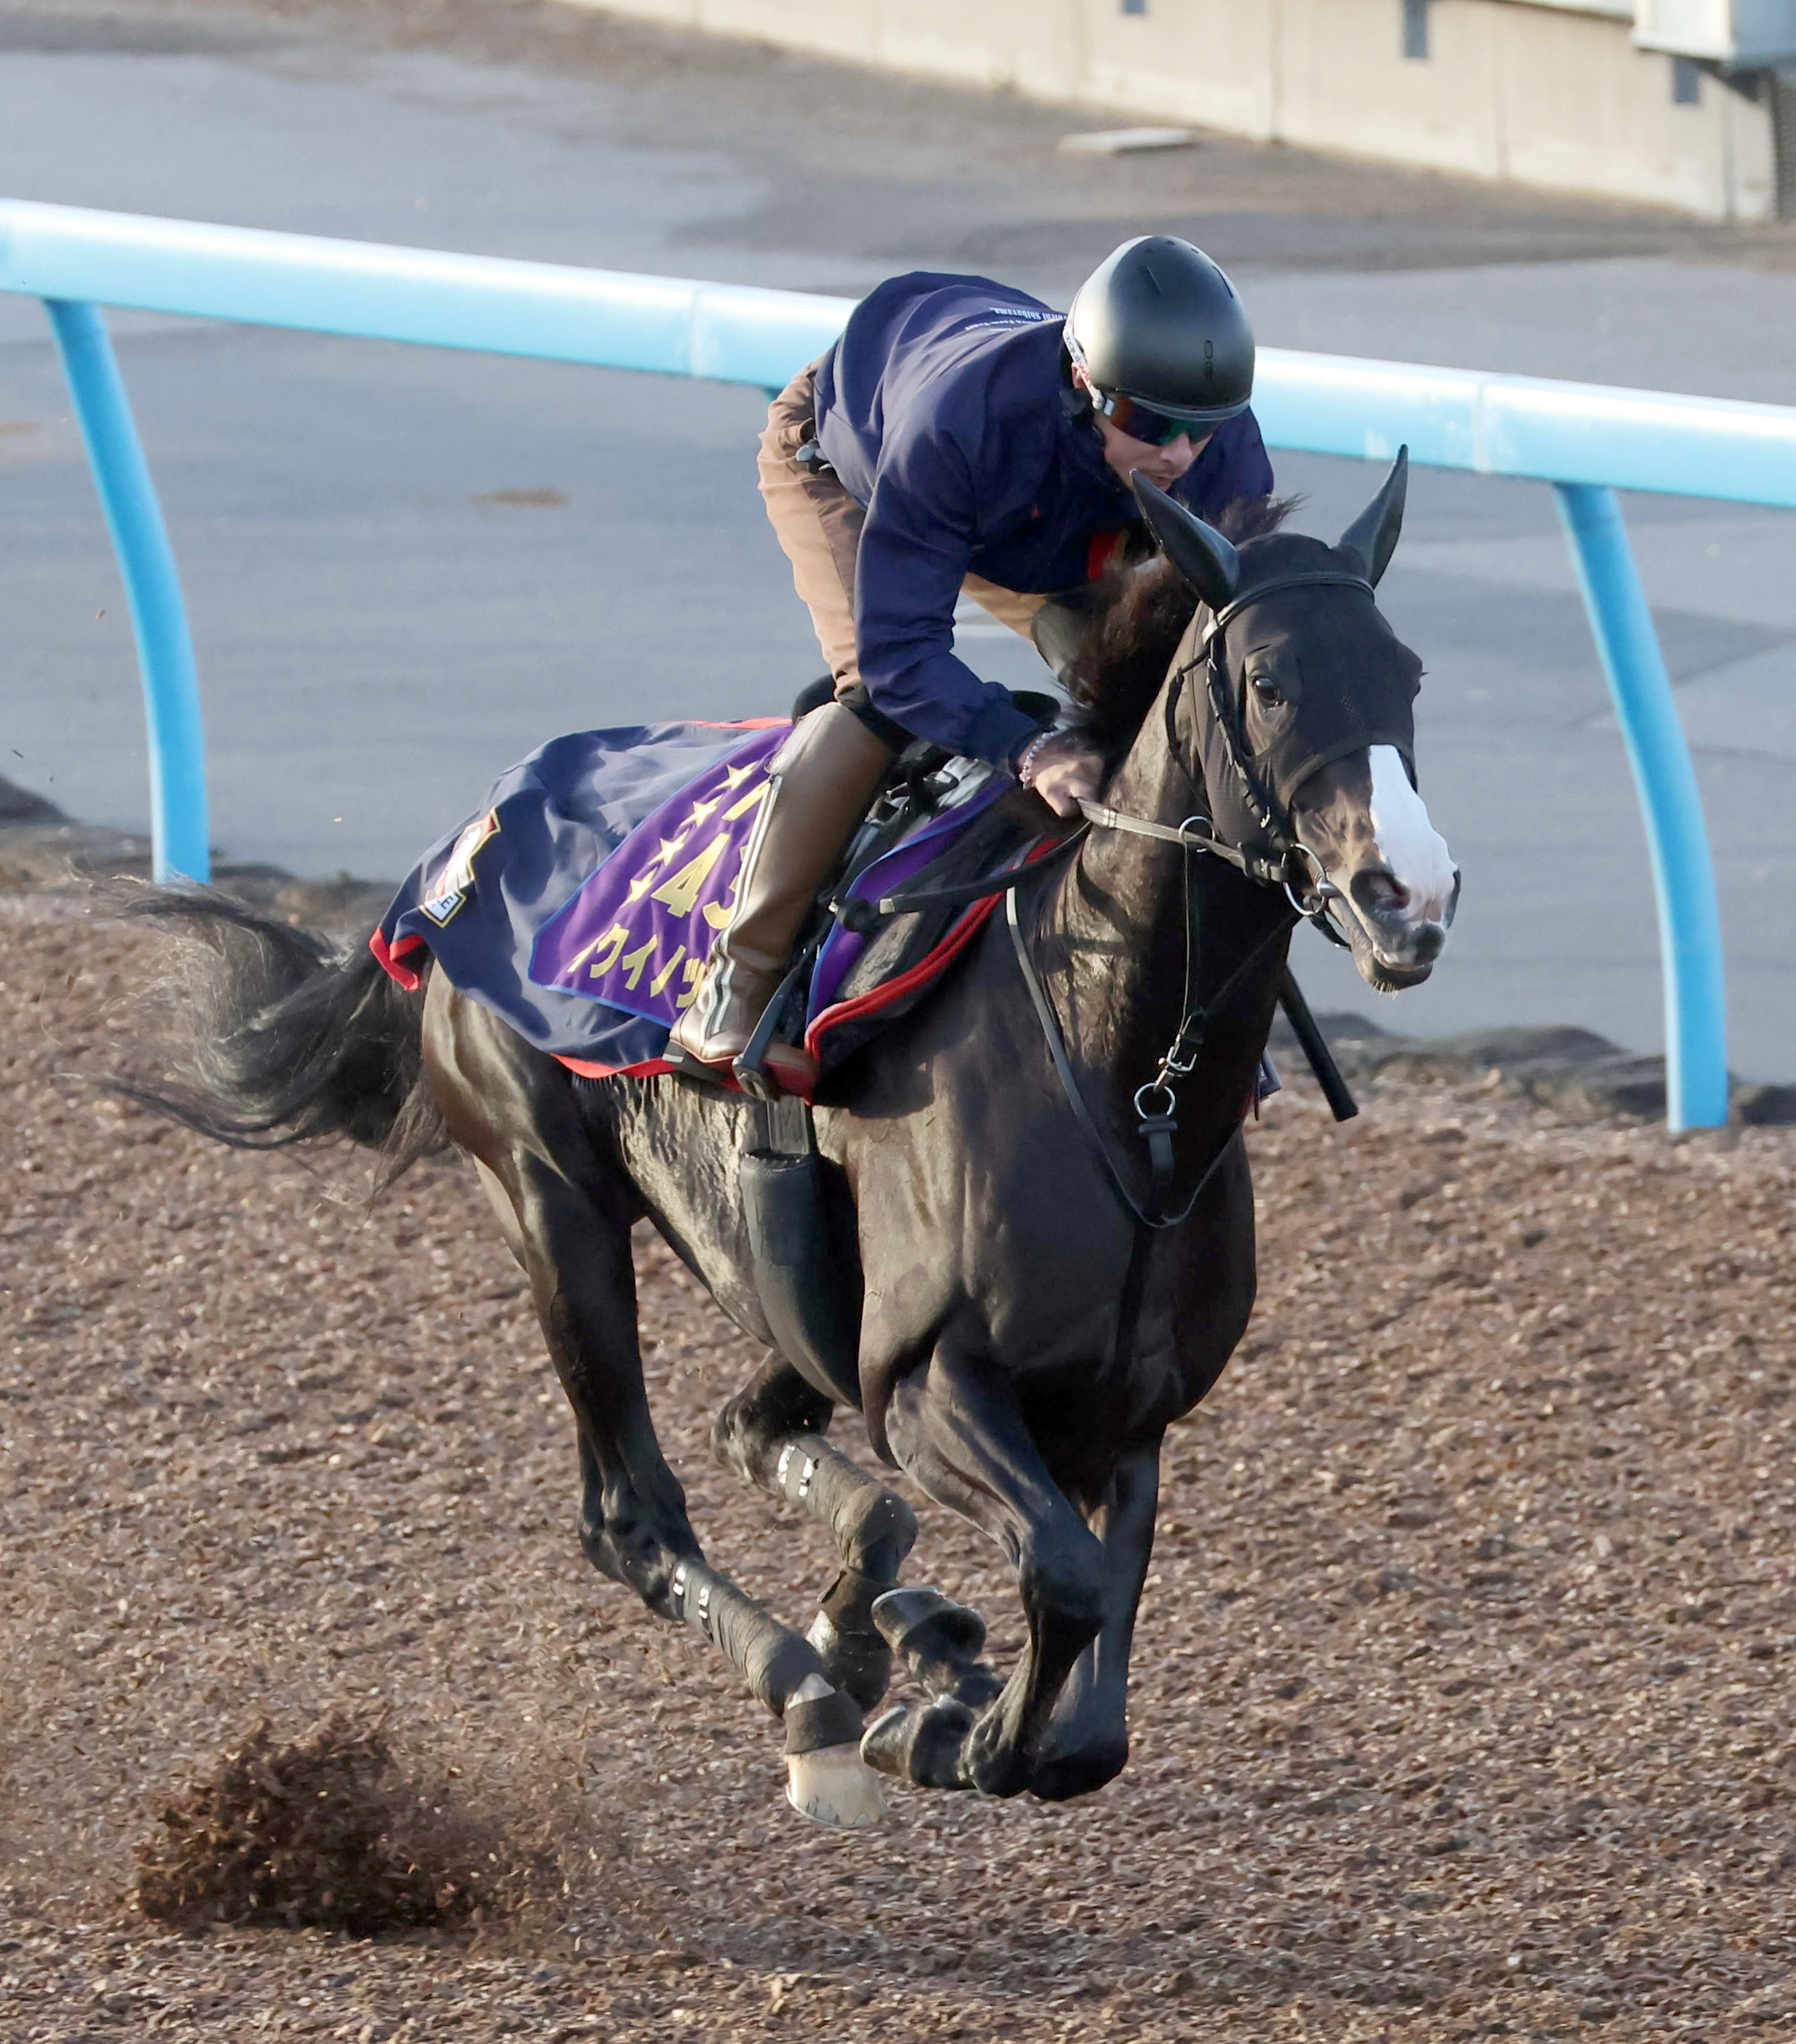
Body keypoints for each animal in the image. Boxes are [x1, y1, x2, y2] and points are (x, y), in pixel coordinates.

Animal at [137, 468, 1463, 1839]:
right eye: (1268, 681)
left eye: (1407, 672)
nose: (1406, 895)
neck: (1122, 1084)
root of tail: (454, 854)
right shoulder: (929, 1376)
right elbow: (1065, 1577)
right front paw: (944, 1728)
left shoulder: (1125, 1413)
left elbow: (1092, 1698)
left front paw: (941, 1677)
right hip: (550, 1199)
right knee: (629, 1512)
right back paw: (811, 1693)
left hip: (781, 1277)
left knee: (749, 1424)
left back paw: (878, 1626)